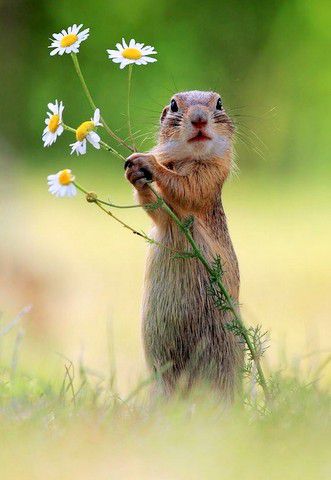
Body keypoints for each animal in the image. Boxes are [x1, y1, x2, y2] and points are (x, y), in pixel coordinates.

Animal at [124, 90, 244, 402]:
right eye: (174, 105)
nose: (199, 119)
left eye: (219, 103)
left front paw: (148, 162)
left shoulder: (209, 178)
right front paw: (135, 174)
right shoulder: (166, 217)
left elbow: (187, 187)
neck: (190, 158)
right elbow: (156, 207)